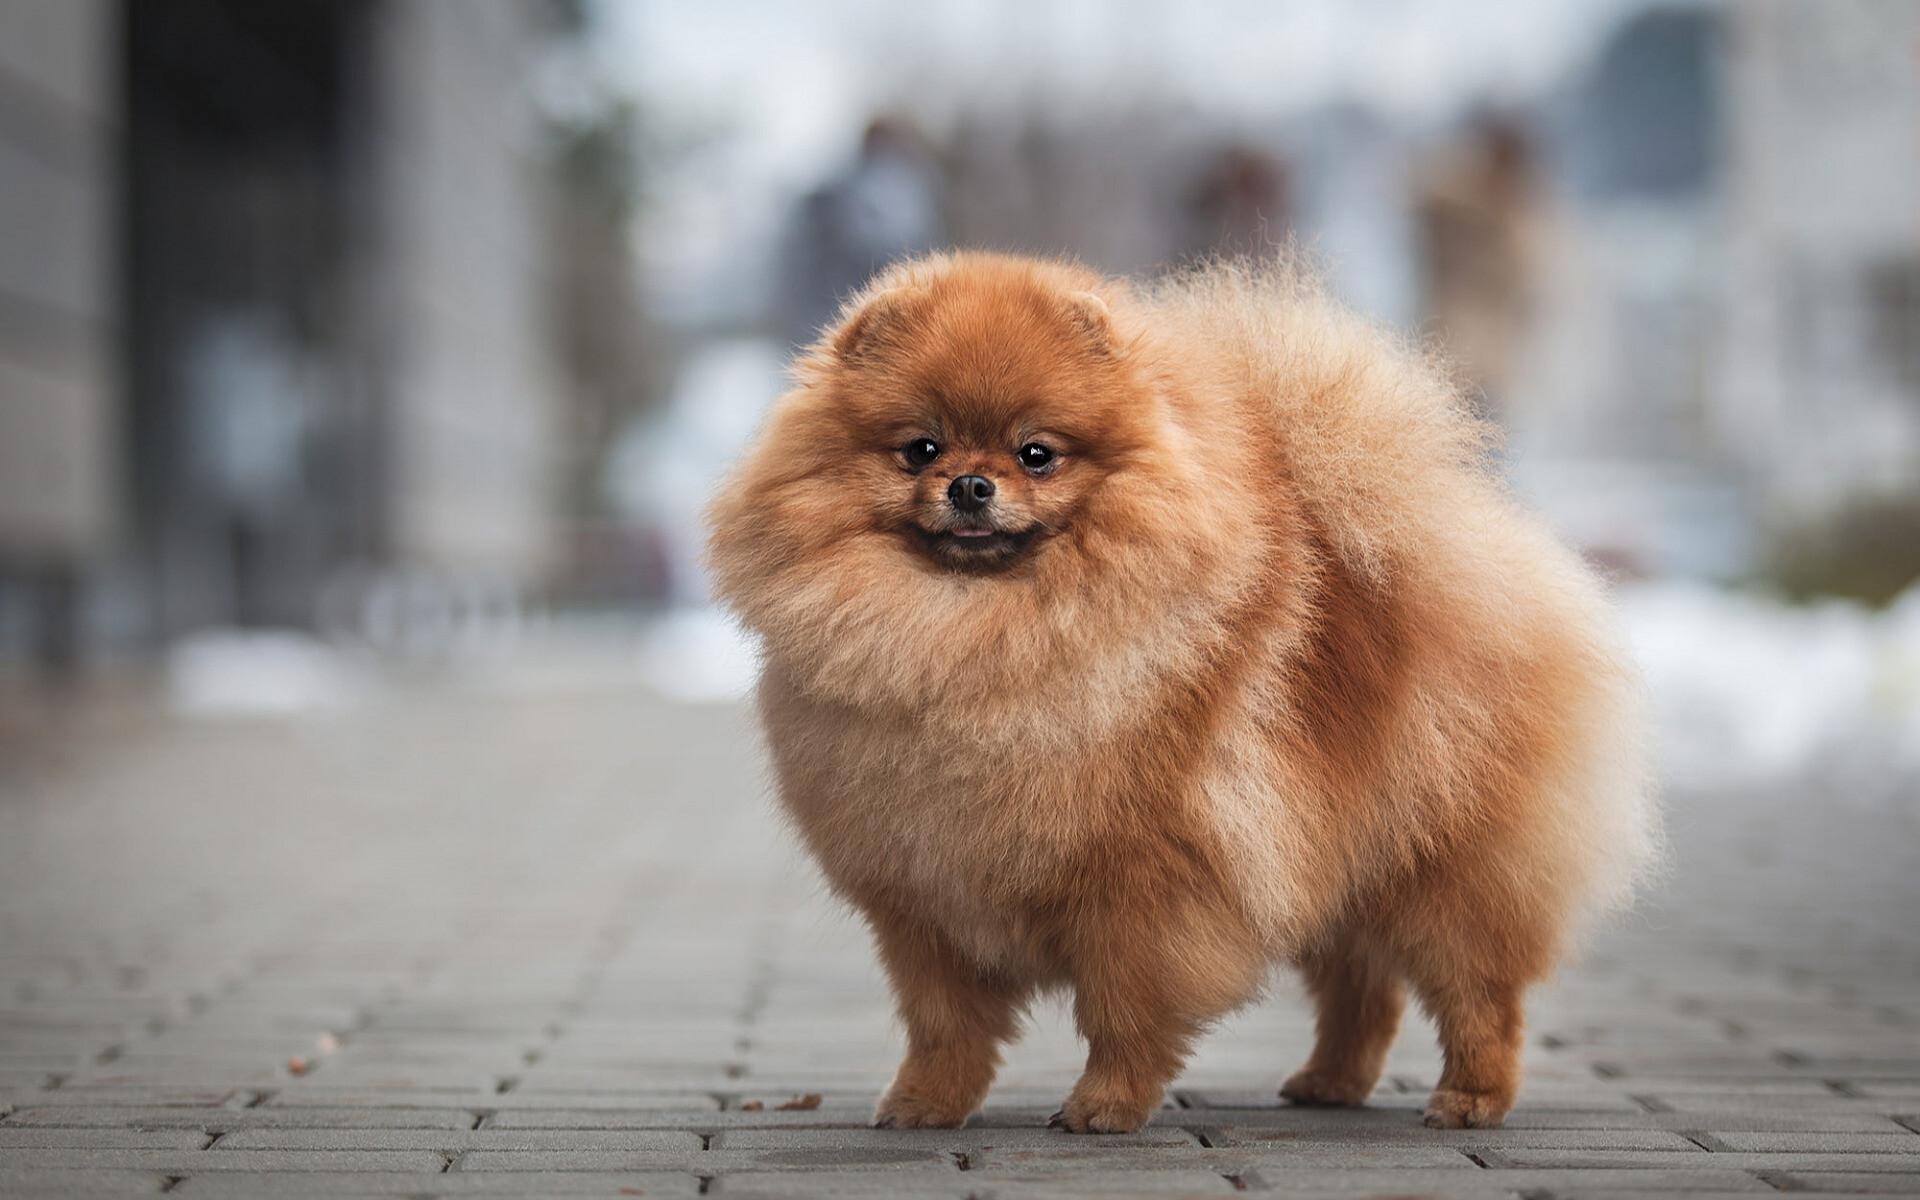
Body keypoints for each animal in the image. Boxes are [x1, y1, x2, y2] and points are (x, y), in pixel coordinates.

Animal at [702, 253, 1651, 1128]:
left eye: (1037, 455)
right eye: (920, 449)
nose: (971, 484)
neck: (976, 634)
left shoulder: (1145, 890)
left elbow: (1124, 1013)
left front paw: (1104, 1106)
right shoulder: (925, 898)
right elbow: (946, 1026)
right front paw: (925, 1103)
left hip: (1441, 866)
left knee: (1478, 990)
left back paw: (1469, 1097)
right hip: (1333, 855)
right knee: (1361, 986)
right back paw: (1330, 1082)